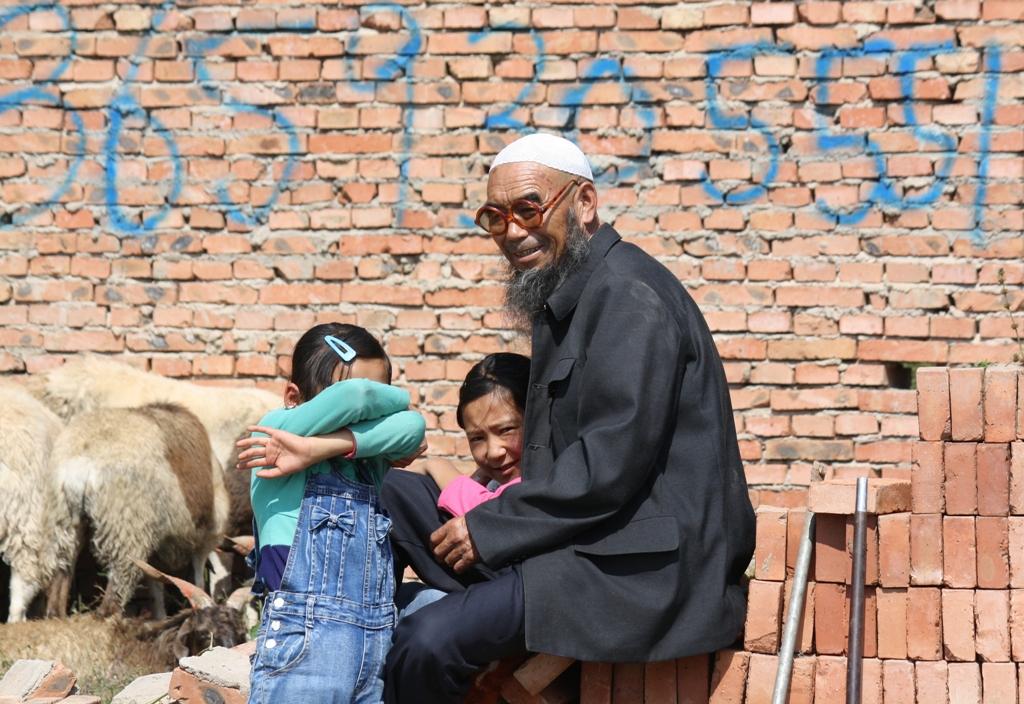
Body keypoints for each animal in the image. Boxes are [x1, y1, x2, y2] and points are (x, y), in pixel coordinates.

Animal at [48, 401, 230, 622]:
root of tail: (82, 462)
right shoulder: (205, 539)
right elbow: (197, 582)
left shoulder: (155, 550)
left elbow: (156, 592)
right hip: (125, 529)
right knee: (111, 601)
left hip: (66, 523)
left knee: (60, 581)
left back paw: (57, 616)